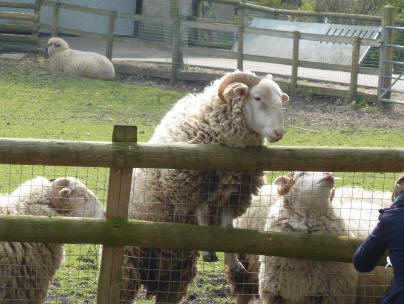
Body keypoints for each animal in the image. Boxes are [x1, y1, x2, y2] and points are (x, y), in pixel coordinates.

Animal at [121, 71, 288, 304]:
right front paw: (209, 253)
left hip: (177, 273)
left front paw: (233, 261)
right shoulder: (191, 184)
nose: (279, 133)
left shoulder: (234, 193)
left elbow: (228, 228)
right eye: (257, 98)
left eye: (280, 99)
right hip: (130, 259)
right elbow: (201, 213)